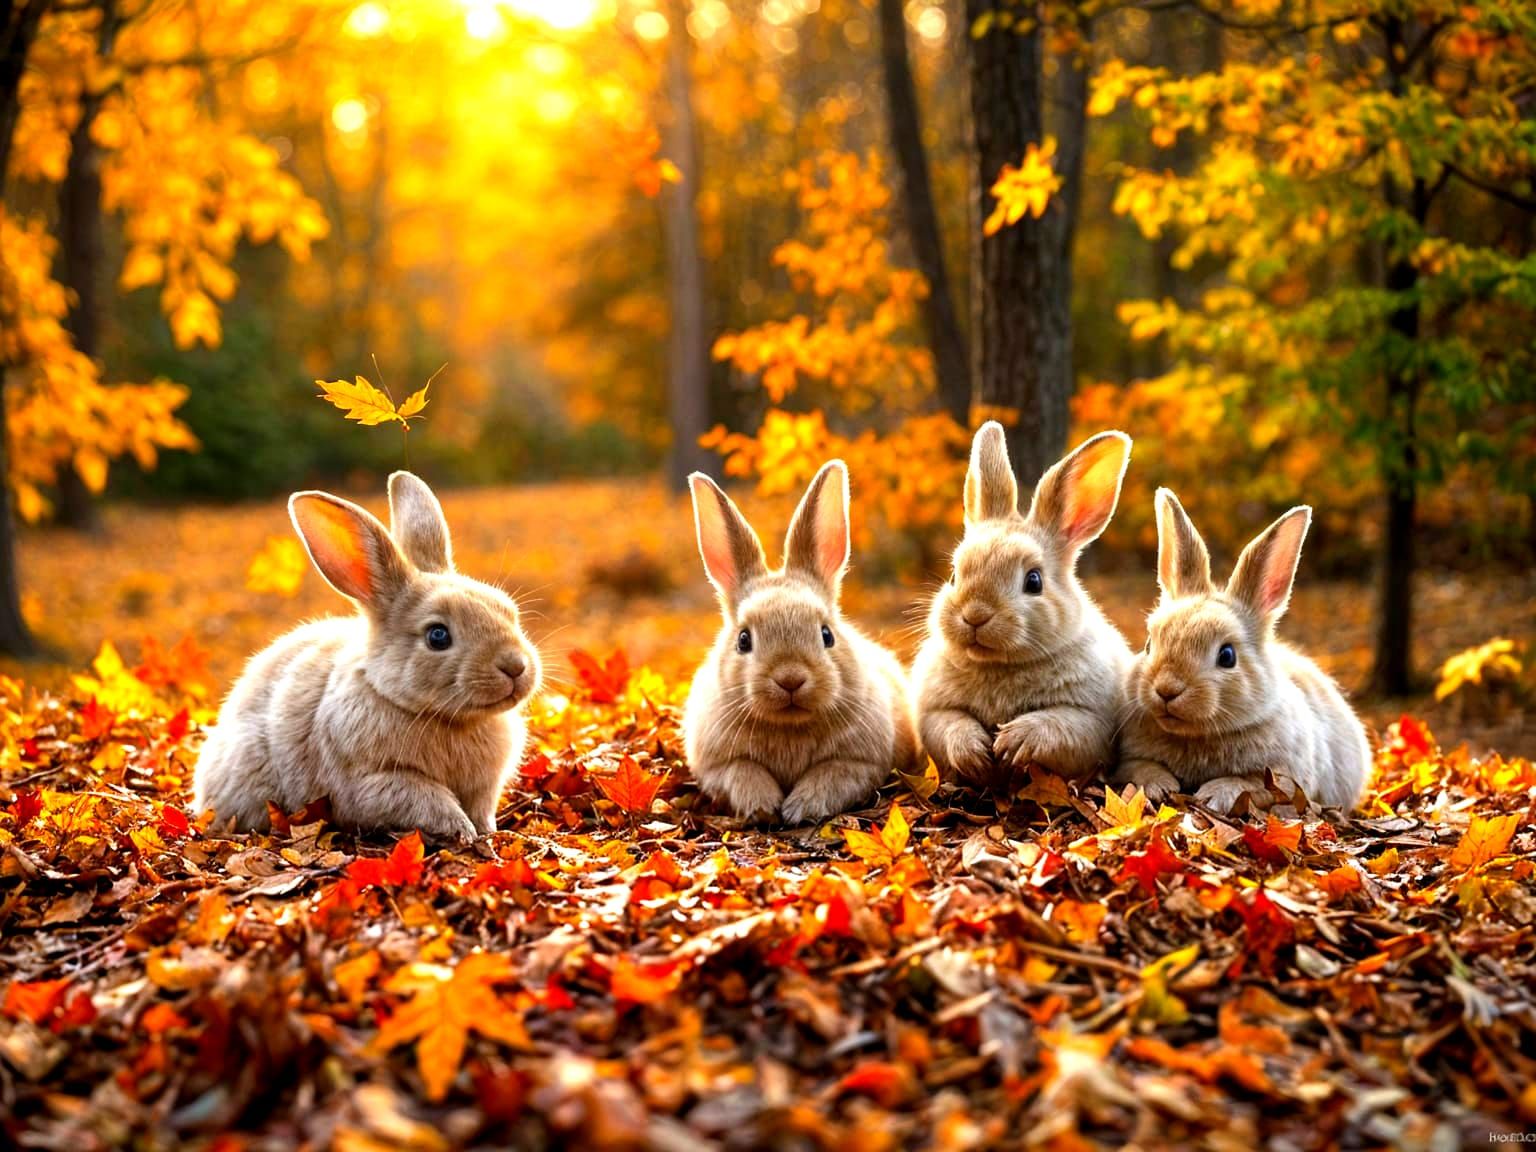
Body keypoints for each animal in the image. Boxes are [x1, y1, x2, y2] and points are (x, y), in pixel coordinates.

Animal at [192, 472, 541, 841]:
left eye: (508, 610)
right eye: (438, 636)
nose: (515, 666)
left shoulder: (482, 789)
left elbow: (479, 808)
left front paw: (485, 831)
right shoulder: (375, 781)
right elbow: (430, 801)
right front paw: (463, 832)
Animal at [683, 461, 920, 825]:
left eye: (826, 635)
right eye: (743, 640)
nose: (790, 678)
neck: (790, 725)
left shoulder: (858, 762)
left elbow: (830, 775)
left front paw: (801, 808)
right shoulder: (720, 765)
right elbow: (743, 773)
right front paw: (763, 806)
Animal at [912, 423, 1133, 787]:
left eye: (1034, 581)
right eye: (954, 575)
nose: (975, 615)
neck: (997, 665)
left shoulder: (1089, 719)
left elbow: (1056, 725)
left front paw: (1012, 742)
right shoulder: (934, 713)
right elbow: (951, 726)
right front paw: (975, 752)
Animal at [1111, 488, 1370, 814]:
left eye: (1227, 656)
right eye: (1148, 644)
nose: (1167, 690)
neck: (1195, 736)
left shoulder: (1282, 779)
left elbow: (1248, 783)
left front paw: (1212, 794)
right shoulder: (1129, 760)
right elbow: (1141, 767)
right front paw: (1160, 786)